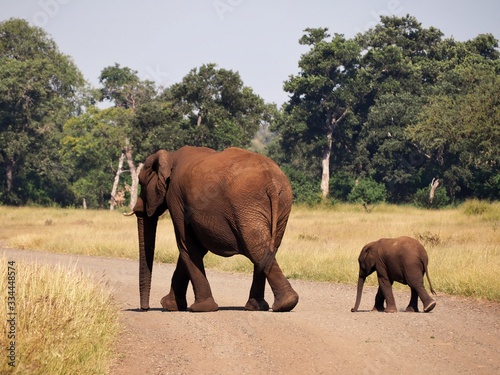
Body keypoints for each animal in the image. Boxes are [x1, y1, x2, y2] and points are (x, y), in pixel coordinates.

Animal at [131, 147, 298, 314]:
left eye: (141, 183)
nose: (144, 309)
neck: (170, 156)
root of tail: (272, 182)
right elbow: (194, 248)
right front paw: (171, 306)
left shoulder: (175, 198)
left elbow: (186, 246)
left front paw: (200, 308)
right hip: (280, 203)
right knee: (266, 248)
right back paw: (261, 307)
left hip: (248, 205)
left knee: (256, 248)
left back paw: (284, 304)